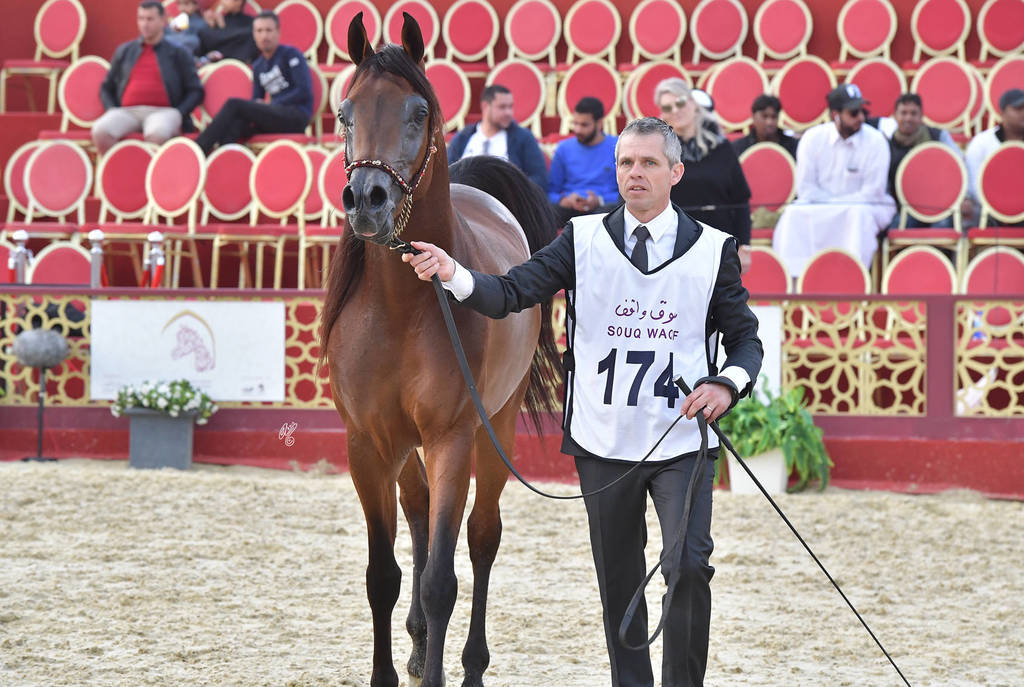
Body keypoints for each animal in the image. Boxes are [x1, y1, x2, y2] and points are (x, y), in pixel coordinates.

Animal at [318, 13, 561, 687]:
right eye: (345, 111)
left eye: (418, 111)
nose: (367, 199)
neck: (401, 307)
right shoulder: (367, 444)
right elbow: (384, 576)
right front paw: (391, 669)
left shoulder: (452, 438)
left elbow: (439, 583)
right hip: (405, 446)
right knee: (421, 513)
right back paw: (418, 643)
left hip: (494, 426)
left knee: (481, 537)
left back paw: (470, 663)